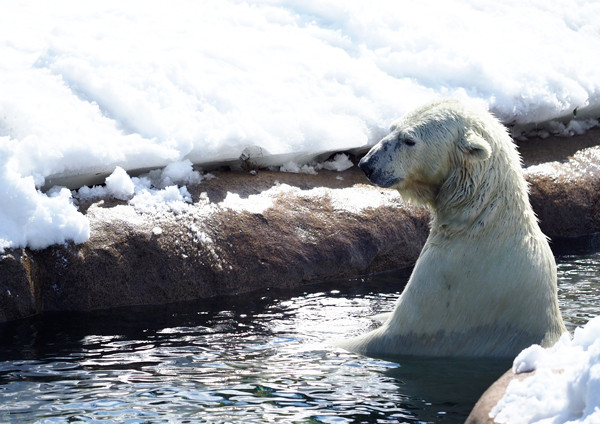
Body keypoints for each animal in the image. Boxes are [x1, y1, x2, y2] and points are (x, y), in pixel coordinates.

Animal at [344, 98, 564, 358]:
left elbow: (384, 337)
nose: (367, 164)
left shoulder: (446, 285)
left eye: (409, 140)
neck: (478, 220)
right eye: (392, 128)